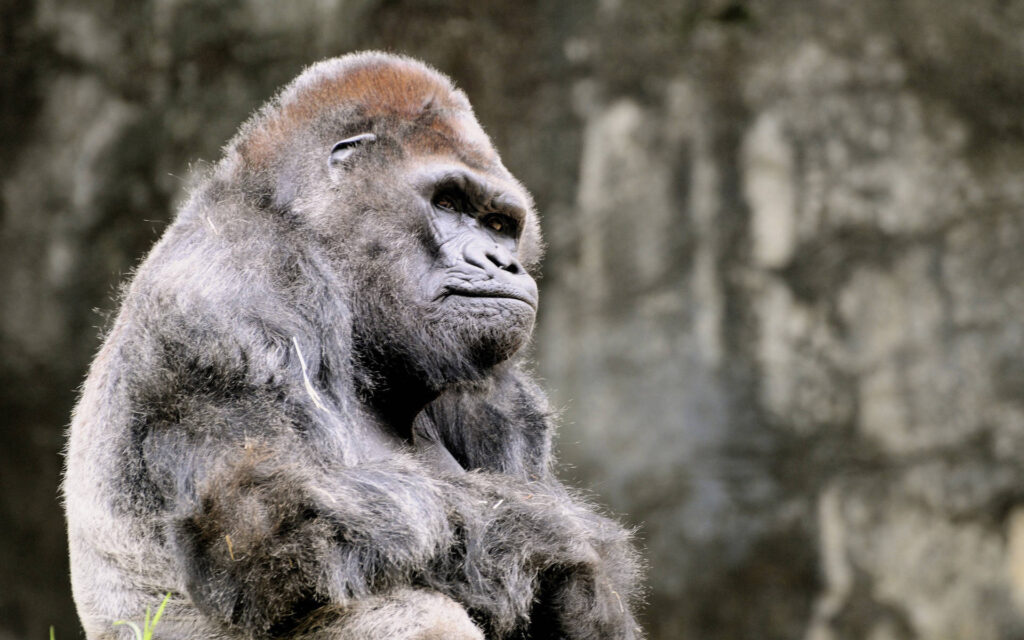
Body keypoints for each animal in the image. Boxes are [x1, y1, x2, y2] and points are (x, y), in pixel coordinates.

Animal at [63, 52, 643, 640]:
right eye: (447, 202)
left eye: (500, 224)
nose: (500, 262)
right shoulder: (234, 284)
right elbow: (276, 522)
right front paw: (571, 549)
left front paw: (588, 598)